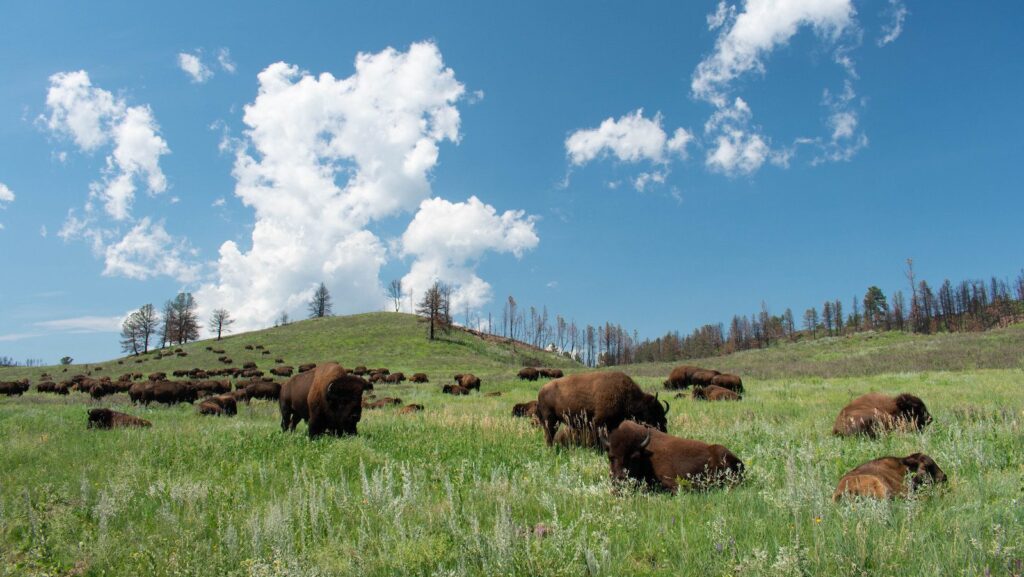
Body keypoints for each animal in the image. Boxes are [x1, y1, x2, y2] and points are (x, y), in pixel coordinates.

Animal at [536, 371, 671, 446]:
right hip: (550, 420)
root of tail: (541, 390)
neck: (625, 395)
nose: (664, 430)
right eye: (653, 413)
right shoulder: (598, 422)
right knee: (549, 435)